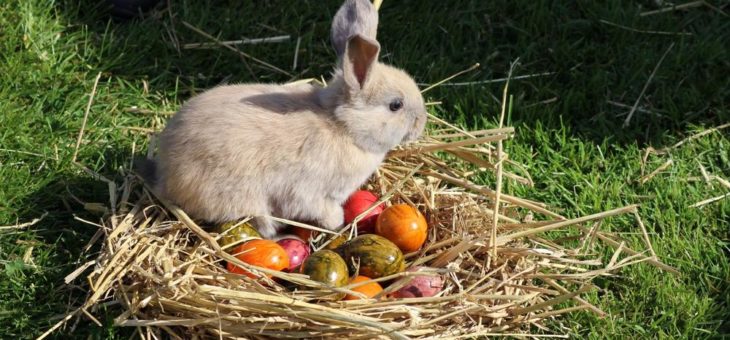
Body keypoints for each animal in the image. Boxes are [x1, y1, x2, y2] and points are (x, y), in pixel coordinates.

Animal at [141, 0, 426, 238]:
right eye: (395, 105)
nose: (421, 123)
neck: (342, 126)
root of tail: (166, 175)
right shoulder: (310, 193)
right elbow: (323, 210)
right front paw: (337, 224)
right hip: (245, 197)